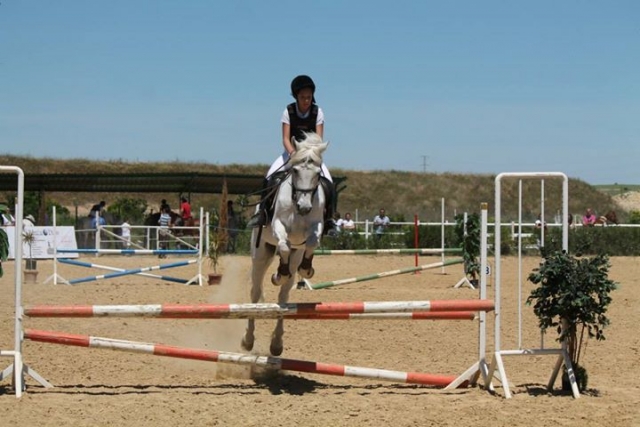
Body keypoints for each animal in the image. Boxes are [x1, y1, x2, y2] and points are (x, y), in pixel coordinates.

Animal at [242, 132, 328, 356]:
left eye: (317, 173)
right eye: (295, 171)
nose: (304, 207)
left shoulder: (314, 228)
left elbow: (311, 242)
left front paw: (306, 269)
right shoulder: (278, 226)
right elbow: (283, 245)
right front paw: (278, 273)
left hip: (295, 256)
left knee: (284, 296)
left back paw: (276, 344)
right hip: (260, 254)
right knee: (255, 293)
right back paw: (248, 340)